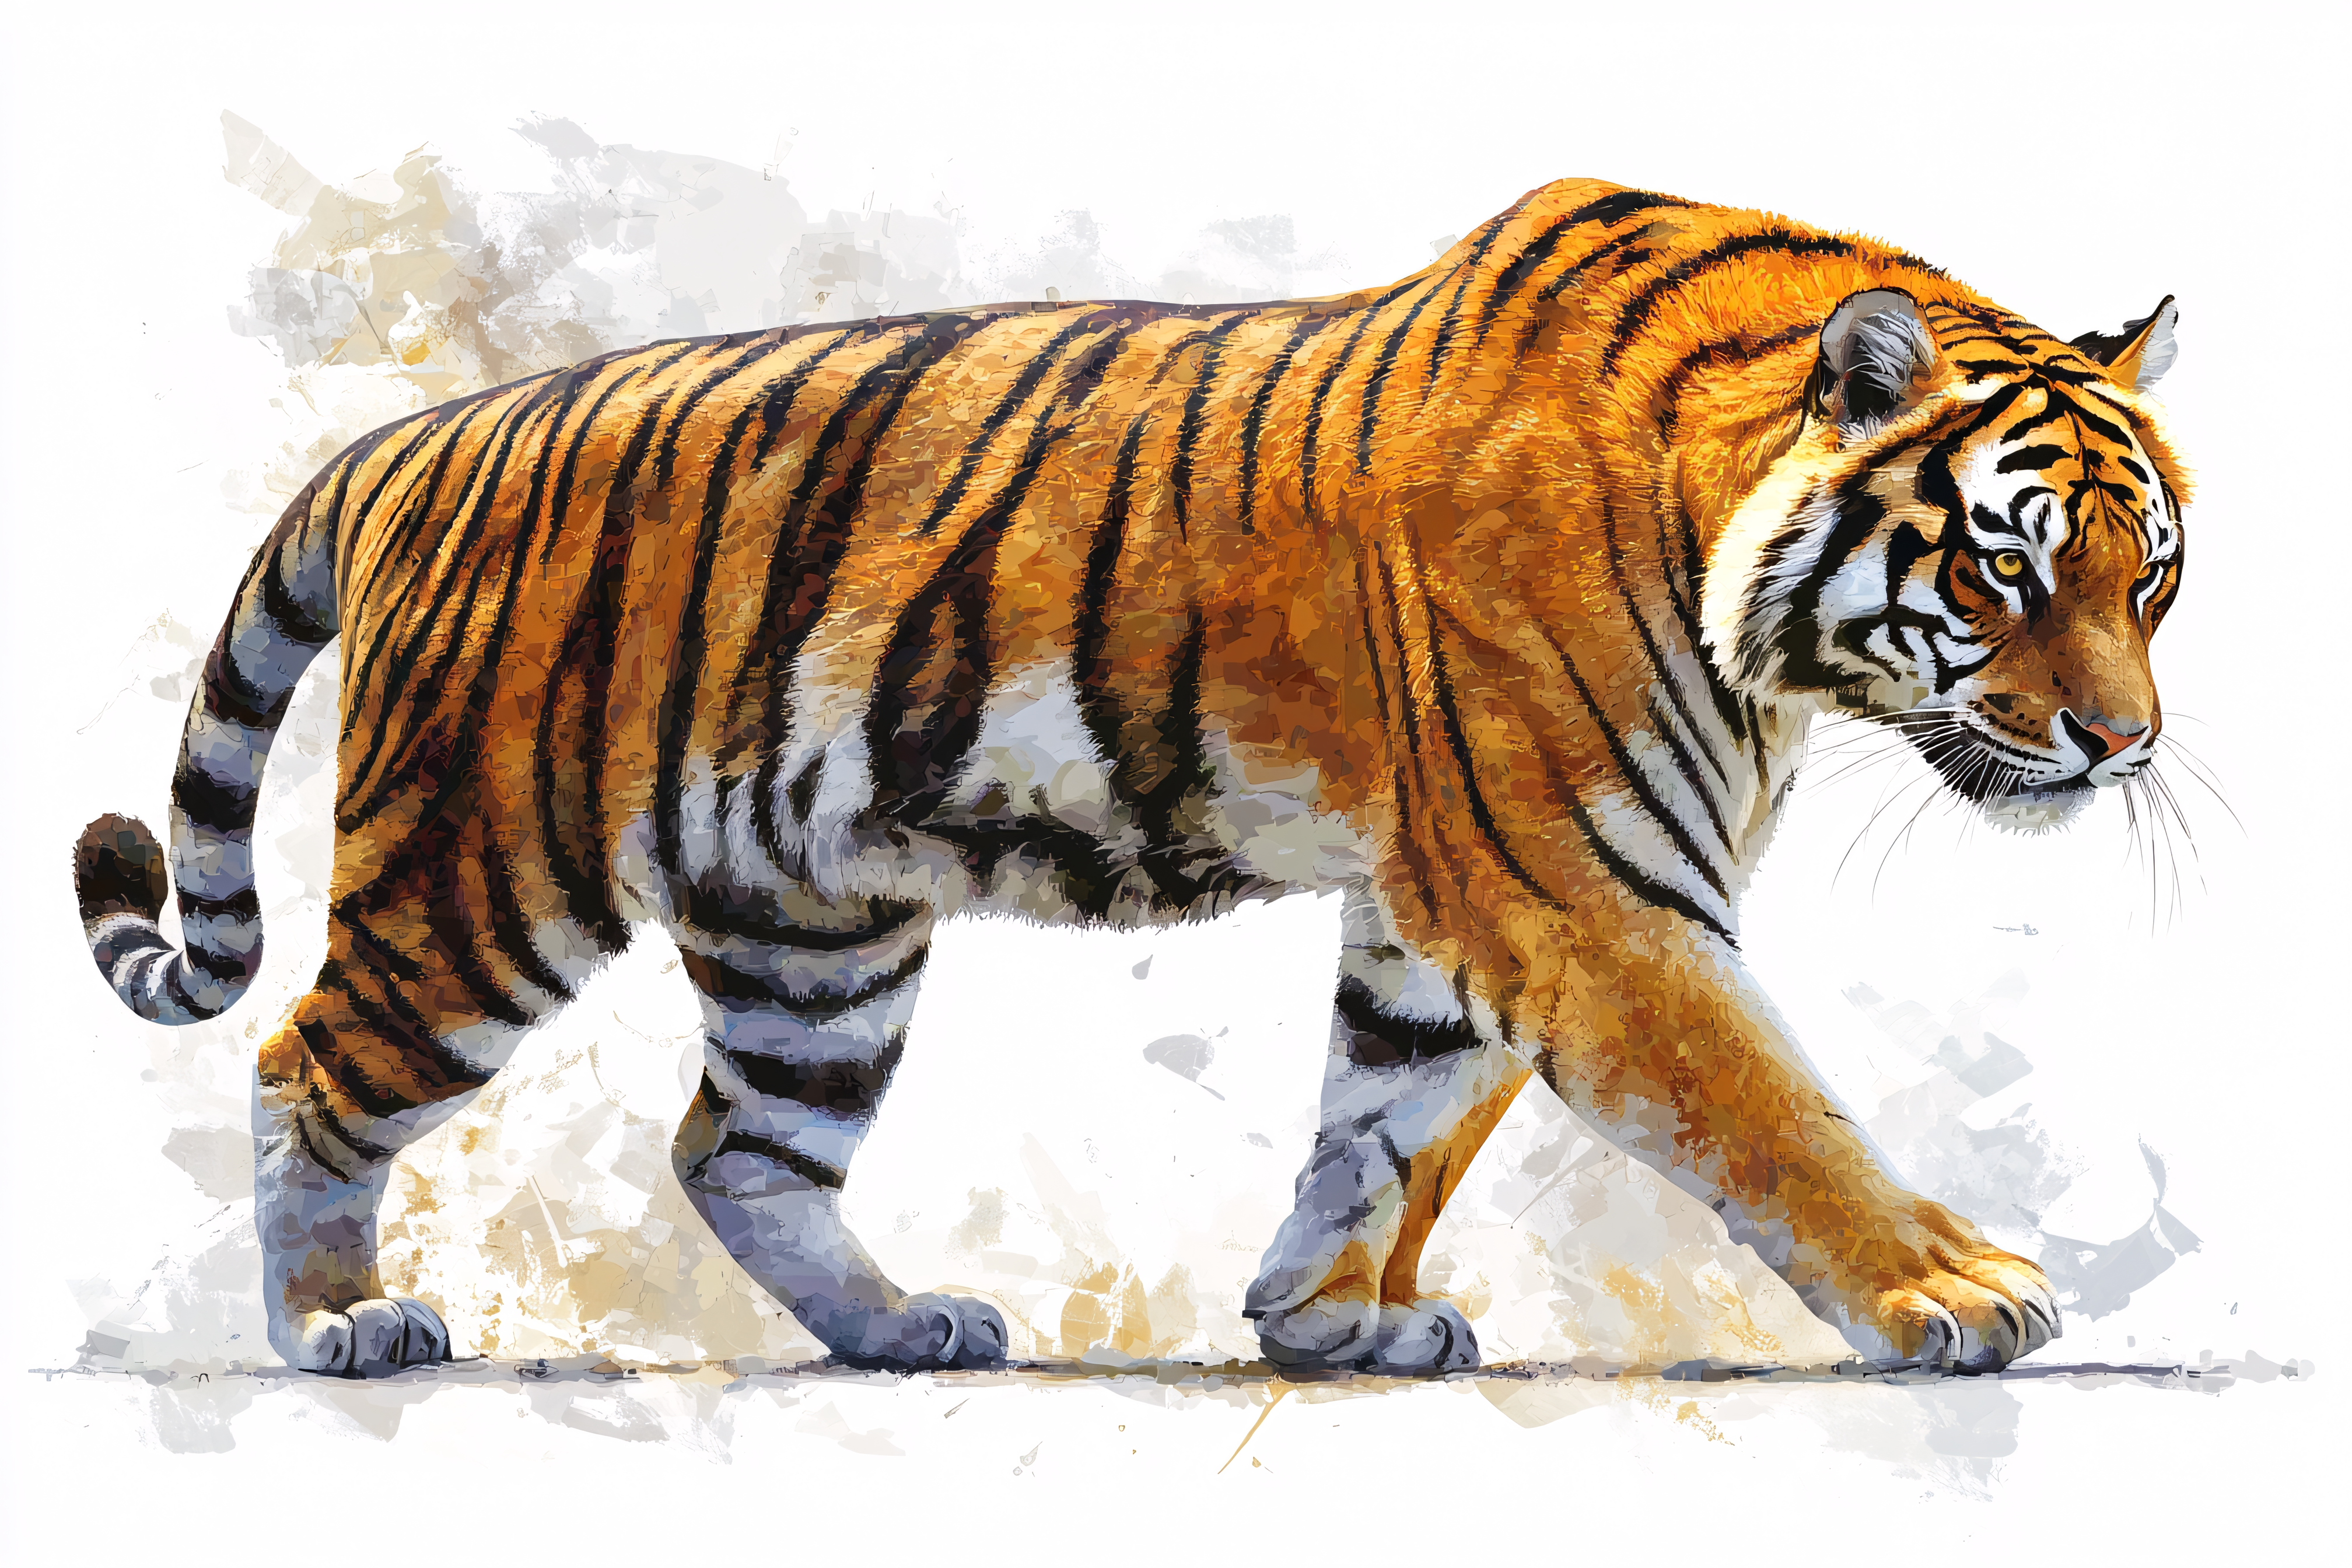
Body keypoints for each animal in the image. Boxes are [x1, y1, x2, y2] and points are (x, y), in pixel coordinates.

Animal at [71, 176, 2188, 1380]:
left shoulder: (1460, 914)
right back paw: (337, 1320)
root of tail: (418, 439)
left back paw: (902, 1328)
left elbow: (1388, 1118)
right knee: (308, 1070)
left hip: (813, 932)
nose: (2124, 740)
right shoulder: (1584, 896)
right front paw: (1952, 1293)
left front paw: (1330, 1317)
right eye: (2005, 570)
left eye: (2147, 570)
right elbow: (1771, 1109)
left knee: (740, 1146)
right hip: (483, 875)